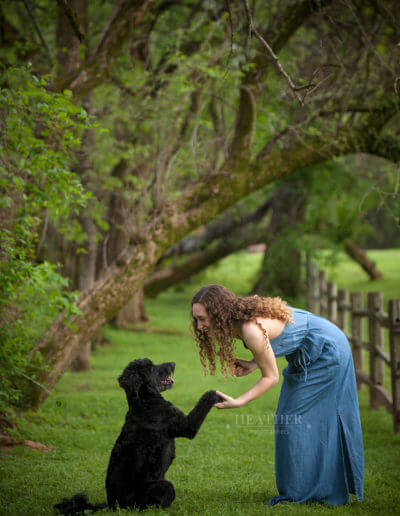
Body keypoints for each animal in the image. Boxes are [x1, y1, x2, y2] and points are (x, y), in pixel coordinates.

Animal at [54, 358, 222, 512]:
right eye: (152, 368)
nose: (173, 363)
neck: (143, 401)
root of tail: (112, 505)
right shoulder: (186, 425)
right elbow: (203, 401)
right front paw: (216, 394)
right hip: (163, 487)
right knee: (148, 505)